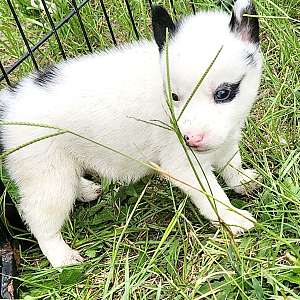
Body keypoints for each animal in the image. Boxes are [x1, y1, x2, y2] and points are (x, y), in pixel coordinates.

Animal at [0, 0, 262, 268]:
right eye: (174, 96)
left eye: (223, 93)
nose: (190, 140)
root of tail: (9, 102)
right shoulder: (184, 166)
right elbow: (212, 195)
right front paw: (232, 218)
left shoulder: (227, 137)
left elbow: (231, 162)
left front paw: (242, 181)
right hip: (48, 176)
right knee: (38, 219)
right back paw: (61, 256)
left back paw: (84, 190)